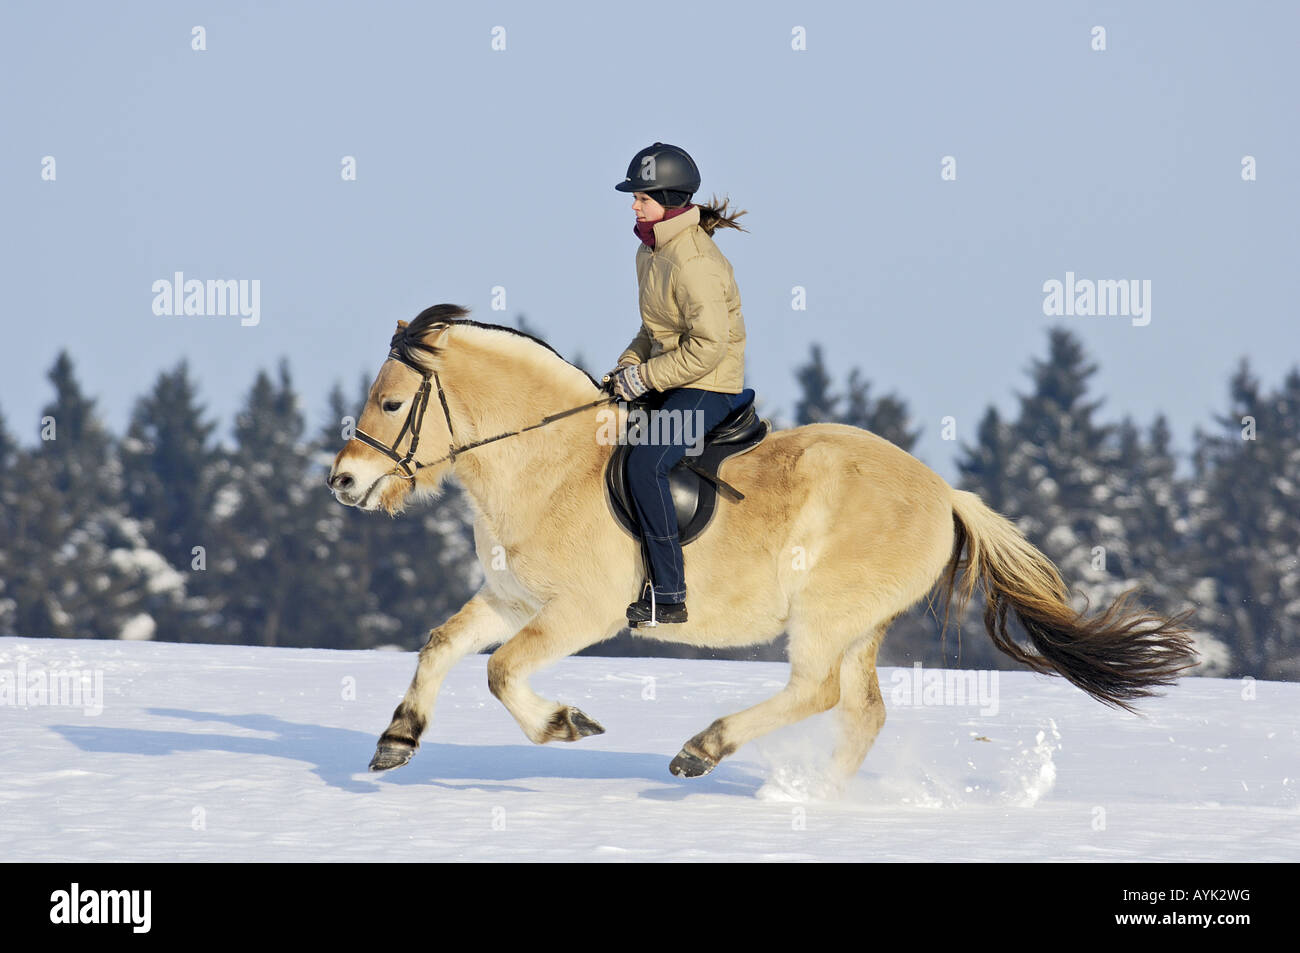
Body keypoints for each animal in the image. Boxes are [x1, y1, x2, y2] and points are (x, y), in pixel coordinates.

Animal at [328, 304, 1197, 786]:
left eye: (392, 401)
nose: (342, 481)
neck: (548, 460)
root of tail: (944, 494)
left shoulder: (579, 612)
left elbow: (504, 671)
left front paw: (566, 724)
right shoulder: (512, 597)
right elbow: (443, 644)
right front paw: (396, 741)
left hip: (828, 613)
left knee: (818, 692)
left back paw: (703, 750)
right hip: (859, 625)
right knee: (860, 711)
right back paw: (813, 798)